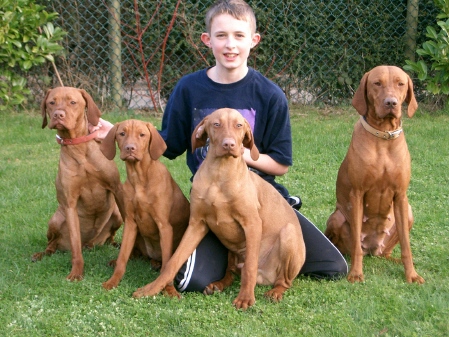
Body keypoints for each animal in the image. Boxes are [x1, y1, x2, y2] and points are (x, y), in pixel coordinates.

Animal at [32, 85, 125, 280]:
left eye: (73, 102)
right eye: (51, 102)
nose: (58, 115)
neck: (79, 148)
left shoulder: (116, 189)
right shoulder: (70, 204)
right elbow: (75, 245)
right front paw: (76, 272)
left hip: (115, 215)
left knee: (109, 237)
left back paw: (113, 244)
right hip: (55, 220)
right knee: (52, 243)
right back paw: (42, 254)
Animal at [100, 119, 189, 296]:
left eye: (142, 135)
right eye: (122, 134)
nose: (130, 148)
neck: (139, 178)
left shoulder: (164, 226)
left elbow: (168, 263)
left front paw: (168, 289)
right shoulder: (130, 222)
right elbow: (122, 257)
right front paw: (113, 281)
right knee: (134, 254)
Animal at [130, 108, 304, 310]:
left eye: (239, 125)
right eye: (216, 124)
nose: (229, 144)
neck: (220, 173)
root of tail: (265, 277)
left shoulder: (252, 224)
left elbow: (250, 267)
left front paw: (245, 297)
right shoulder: (196, 224)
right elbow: (173, 262)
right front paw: (151, 288)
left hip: (289, 235)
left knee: (283, 281)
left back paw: (275, 292)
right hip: (231, 250)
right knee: (231, 272)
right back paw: (218, 284)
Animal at [326, 65, 424, 284]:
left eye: (400, 83)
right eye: (377, 83)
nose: (391, 102)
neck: (384, 137)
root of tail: (372, 249)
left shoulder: (401, 195)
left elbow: (406, 245)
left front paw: (411, 274)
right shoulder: (357, 193)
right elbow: (355, 246)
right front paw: (355, 273)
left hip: (408, 213)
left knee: (387, 253)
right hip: (337, 217)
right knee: (352, 247)